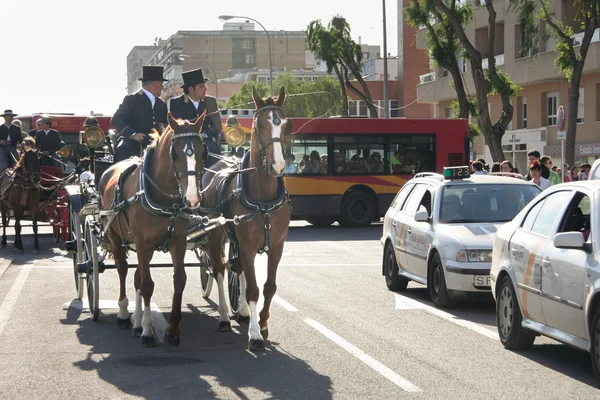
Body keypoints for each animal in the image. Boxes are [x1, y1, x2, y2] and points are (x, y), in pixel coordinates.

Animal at [99, 113, 207, 346]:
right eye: (174, 153)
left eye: (202, 151)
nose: (193, 198)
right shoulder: (142, 243)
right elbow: (147, 285)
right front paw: (148, 331)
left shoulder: (178, 241)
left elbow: (179, 279)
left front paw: (172, 330)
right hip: (116, 238)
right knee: (123, 270)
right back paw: (124, 314)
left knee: (136, 275)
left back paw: (137, 322)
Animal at [202, 86, 292, 350]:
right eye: (259, 124)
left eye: (285, 123)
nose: (278, 166)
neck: (263, 199)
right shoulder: (249, 245)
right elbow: (253, 289)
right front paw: (254, 335)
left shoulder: (277, 246)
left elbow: (269, 287)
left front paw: (262, 322)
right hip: (215, 235)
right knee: (219, 269)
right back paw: (224, 316)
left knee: (237, 267)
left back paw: (241, 312)